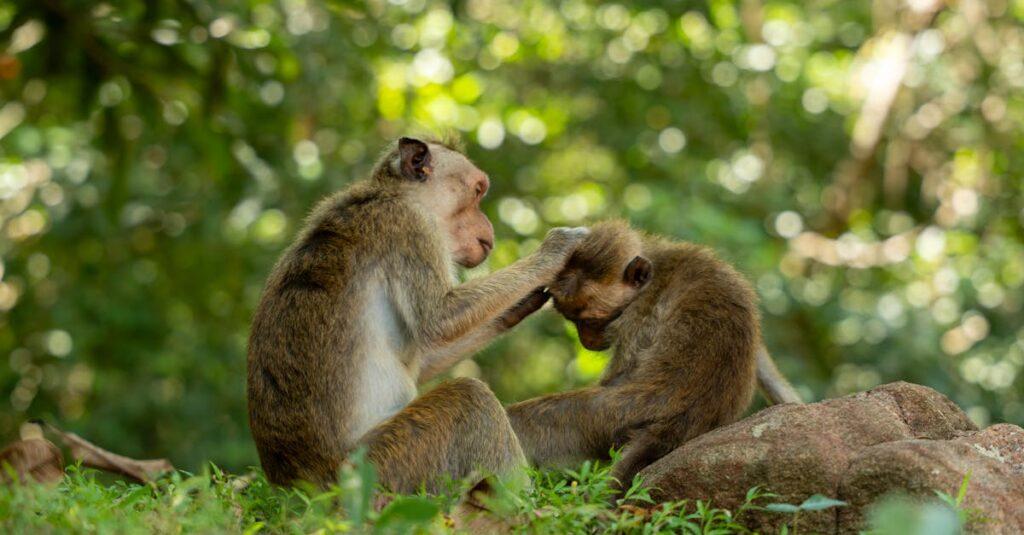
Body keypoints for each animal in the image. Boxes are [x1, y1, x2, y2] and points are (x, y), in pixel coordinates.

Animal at [243, 135, 589, 489]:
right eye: (478, 191)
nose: (489, 230)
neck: (393, 193)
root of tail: (302, 484)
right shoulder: (412, 227)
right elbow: (439, 320)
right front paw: (553, 251)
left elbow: (423, 360)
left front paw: (518, 305)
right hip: (384, 468)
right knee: (469, 397)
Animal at [507, 218, 802, 489]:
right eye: (573, 321)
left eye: (589, 321)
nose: (586, 341)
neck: (656, 266)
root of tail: (685, 417)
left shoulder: (638, 314)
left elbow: (624, 374)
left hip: (612, 418)